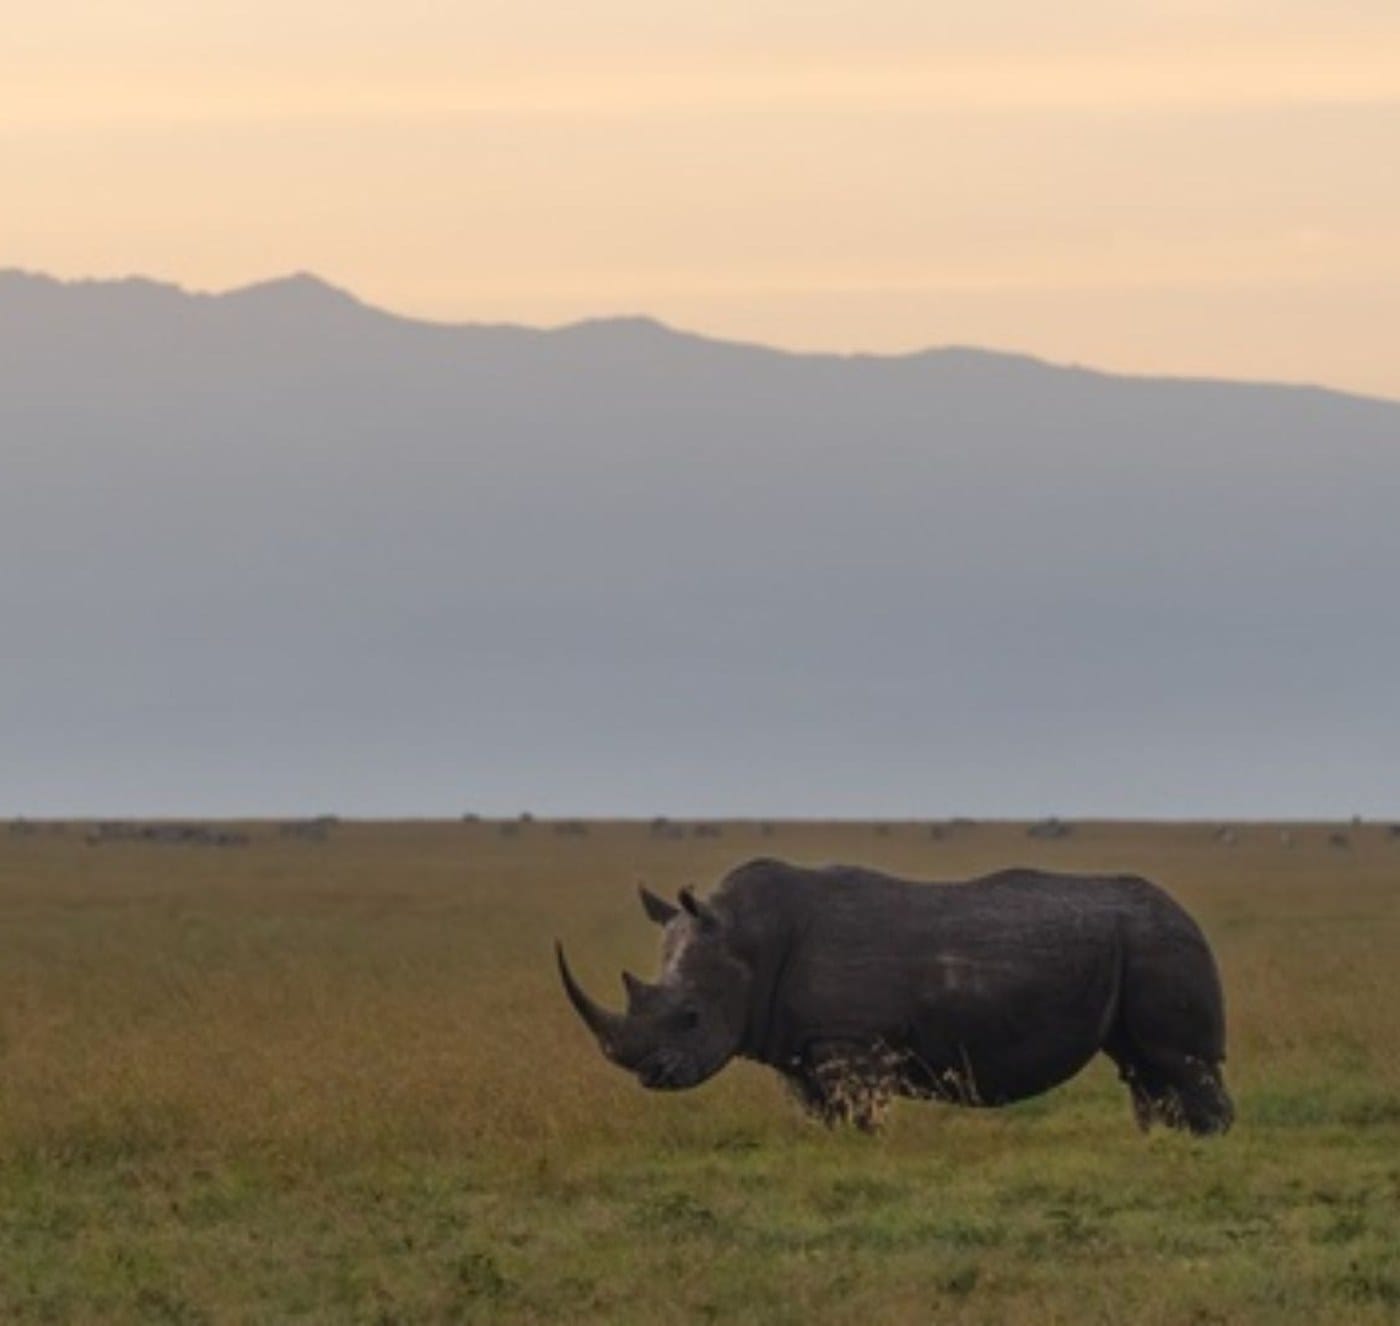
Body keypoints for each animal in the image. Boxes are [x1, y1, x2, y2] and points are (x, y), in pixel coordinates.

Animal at [557, 858, 1233, 1134]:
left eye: (692, 1017)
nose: (649, 1075)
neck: (748, 938)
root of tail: (1185, 911)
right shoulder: (802, 1041)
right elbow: (818, 1111)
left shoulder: (850, 1037)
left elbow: (858, 1108)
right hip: (1140, 944)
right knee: (1141, 1065)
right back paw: (1159, 1142)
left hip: (1161, 942)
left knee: (1176, 1060)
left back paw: (1206, 1144)